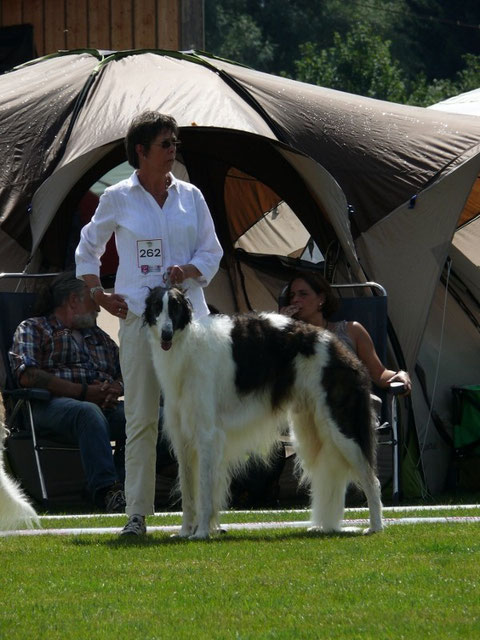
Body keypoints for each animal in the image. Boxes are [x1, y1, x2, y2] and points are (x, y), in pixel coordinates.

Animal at [142, 288, 382, 540]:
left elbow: (205, 493)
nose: (166, 334)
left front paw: (202, 532)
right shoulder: (183, 439)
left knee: (371, 479)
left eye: (176, 307)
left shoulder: (207, 435)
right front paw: (185, 531)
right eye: (157, 306)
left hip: (341, 426)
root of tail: (342, 351)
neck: (188, 347)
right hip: (311, 426)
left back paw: (375, 526)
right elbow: (189, 494)